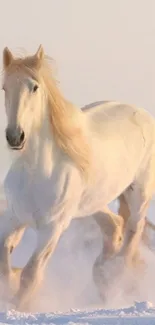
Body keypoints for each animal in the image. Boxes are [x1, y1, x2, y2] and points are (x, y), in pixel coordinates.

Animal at [1, 43, 155, 308]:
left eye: (34, 87)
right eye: (4, 87)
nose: (15, 136)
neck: (35, 172)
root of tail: (141, 112)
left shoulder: (52, 228)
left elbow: (31, 274)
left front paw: (19, 306)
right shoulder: (15, 217)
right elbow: (4, 259)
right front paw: (10, 287)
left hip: (139, 195)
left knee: (132, 233)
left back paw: (115, 279)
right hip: (93, 202)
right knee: (114, 225)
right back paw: (102, 275)